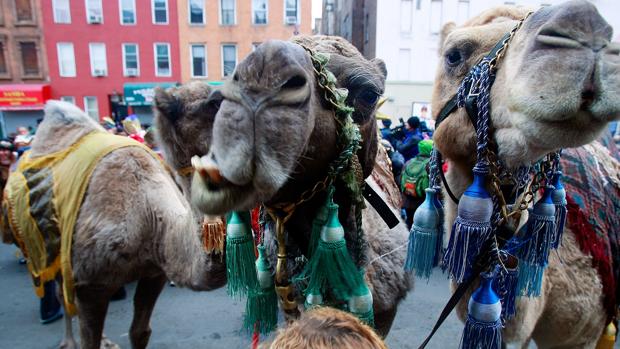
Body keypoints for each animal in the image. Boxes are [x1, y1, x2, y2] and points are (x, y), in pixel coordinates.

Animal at [1, 98, 226, 348]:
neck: (148, 215)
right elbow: (88, 340)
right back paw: (68, 341)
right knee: (61, 294)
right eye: (213, 103)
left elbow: (140, 332)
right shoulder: (88, 284)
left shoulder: (154, 272)